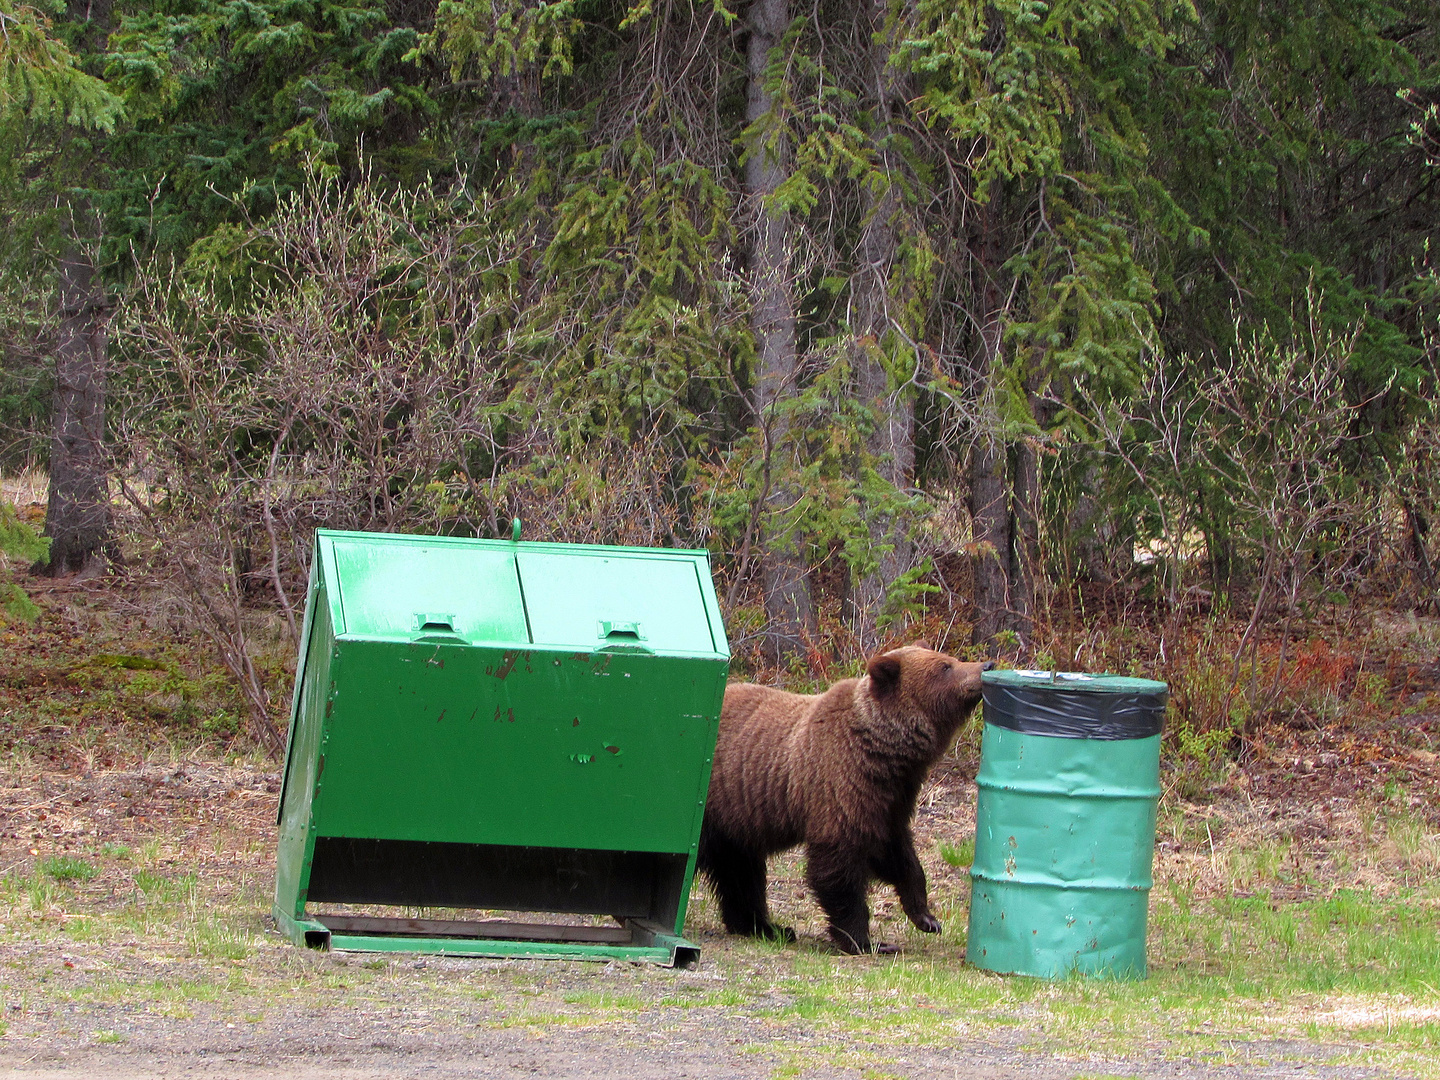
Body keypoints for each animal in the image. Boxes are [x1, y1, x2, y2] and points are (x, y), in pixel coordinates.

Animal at [696, 642, 990, 956]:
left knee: (740, 871)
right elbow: (839, 866)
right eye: (945, 666)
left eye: (949, 659)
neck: (883, 754)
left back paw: (767, 927)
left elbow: (897, 855)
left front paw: (925, 917)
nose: (986, 665)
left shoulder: (891, 800)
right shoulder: (839, 785)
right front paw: (866, 940)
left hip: (736, 819)